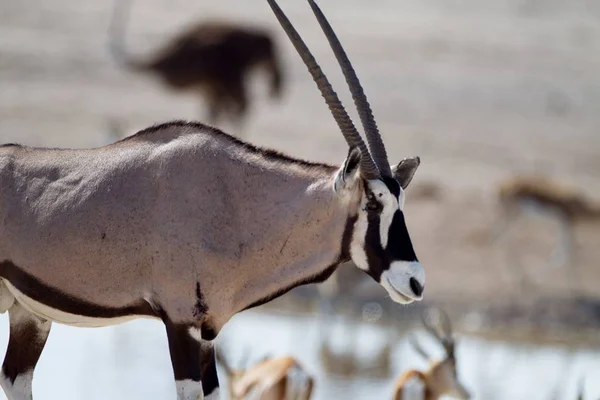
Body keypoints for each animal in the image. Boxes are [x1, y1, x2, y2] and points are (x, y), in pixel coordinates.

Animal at [109, 0, 284, 126]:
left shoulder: (218, 83)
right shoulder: (208, 88)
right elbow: (214, 113)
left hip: (232, 81)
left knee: (243, 108)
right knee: (238, 109)